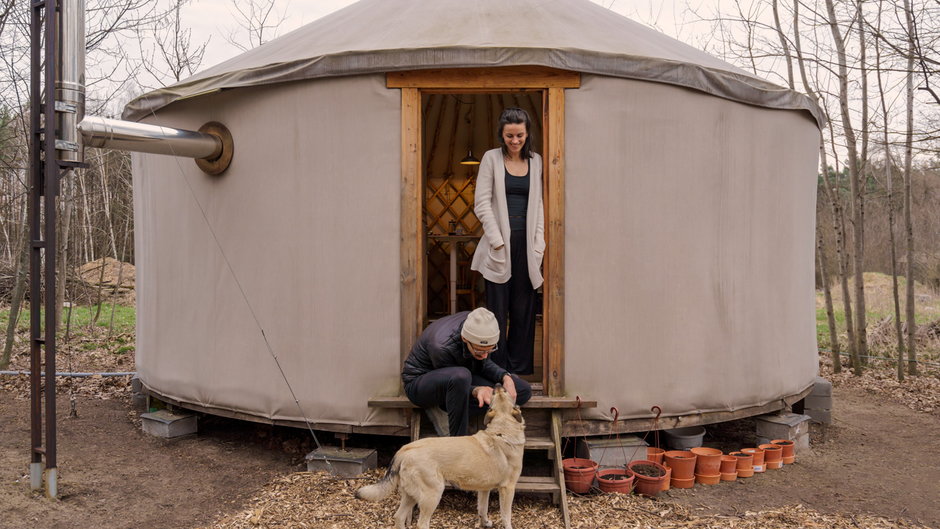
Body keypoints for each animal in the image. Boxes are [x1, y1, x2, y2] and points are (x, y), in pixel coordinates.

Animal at [356, 384, 524, 528]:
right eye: (502, 392)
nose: (498, 384)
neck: (502, 430)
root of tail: (405, 449)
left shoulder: (484, 489)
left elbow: (482, 509)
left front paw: (485, 523)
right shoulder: (508, 488)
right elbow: (506, 515)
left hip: (410, 495)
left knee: (399, 517)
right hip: (433, 494)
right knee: (421, 523)